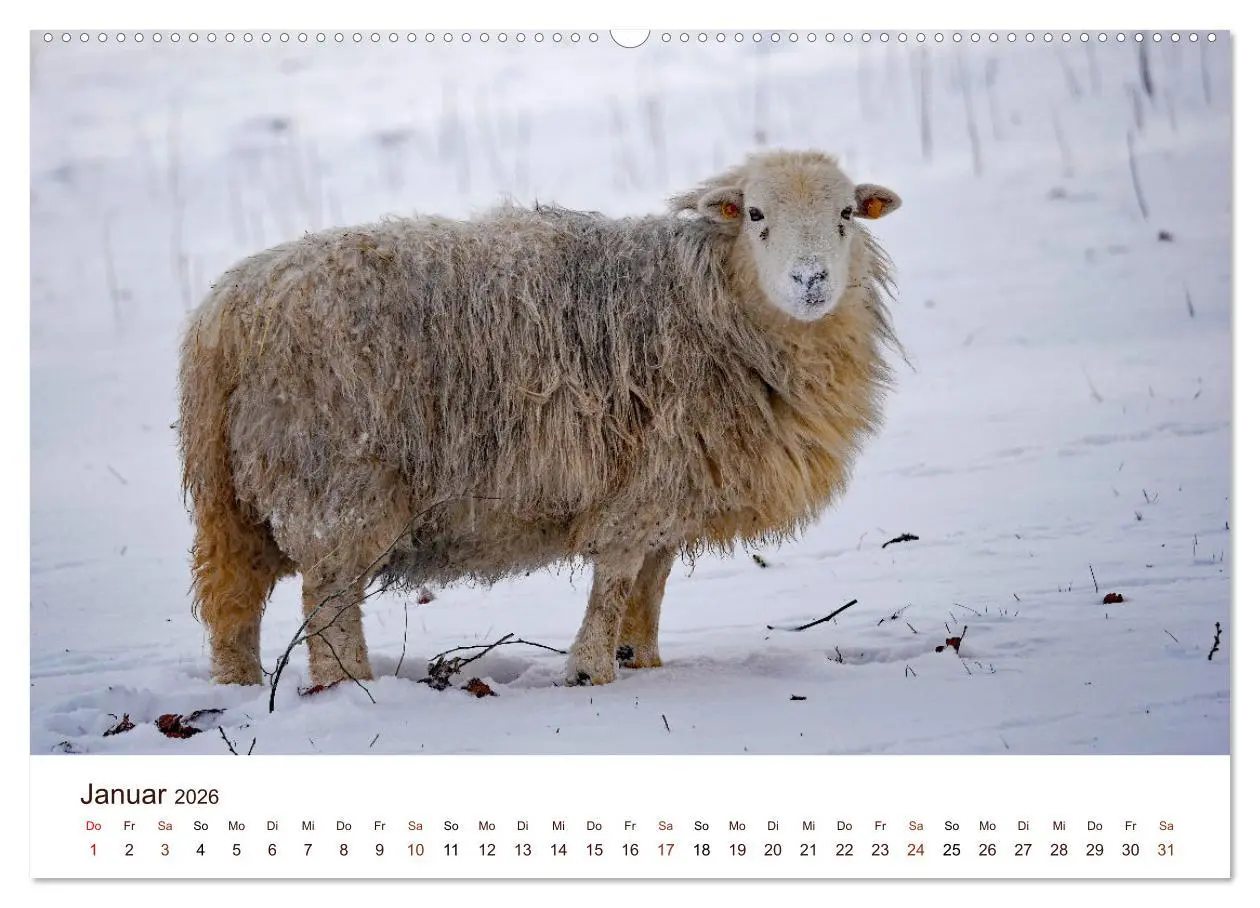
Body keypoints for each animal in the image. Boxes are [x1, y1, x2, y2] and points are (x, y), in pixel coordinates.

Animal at [178, 148, 903, 690]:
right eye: (755, 213)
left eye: (845, 213)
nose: (811, 280)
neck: (712, 300)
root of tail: (225, 317)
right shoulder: (644, 479)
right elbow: (616, 578)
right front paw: (590, 670)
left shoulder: (676, 484)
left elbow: (650, 585)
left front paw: (642, 662)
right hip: (335, 476)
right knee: (327, 599)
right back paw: (348, 685)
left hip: (235, 496)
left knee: (235, 601)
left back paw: (241, 684)